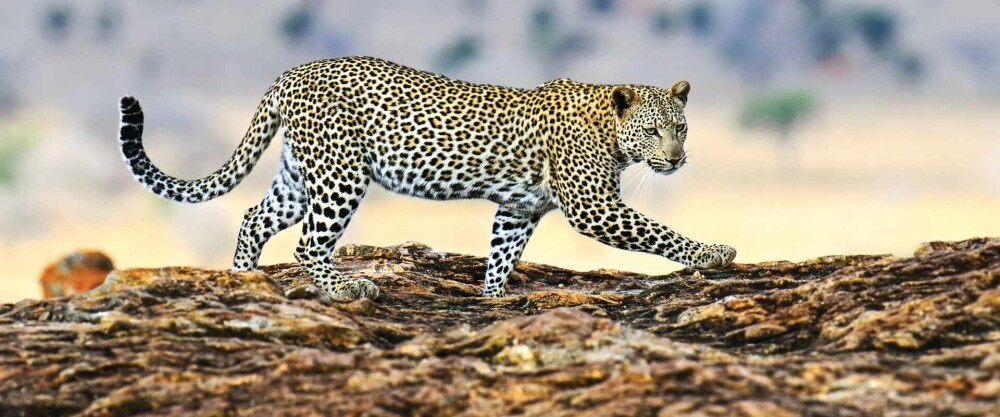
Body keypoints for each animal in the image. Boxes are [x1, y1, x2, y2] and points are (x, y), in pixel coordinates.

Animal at [117, 56, 736, 300]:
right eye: (653, 131)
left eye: (681, 128)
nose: (676, 159)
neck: (610, 129)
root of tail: (291, 73)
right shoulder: (594, 208)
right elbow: (658, 233)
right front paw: (713, 252)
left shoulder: (518, 209)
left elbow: (500, 255)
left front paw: (493, 299)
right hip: (341, 174)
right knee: (308, 244)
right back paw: (345, 288)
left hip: (299, 175)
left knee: (253, 217)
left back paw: (243, 280)